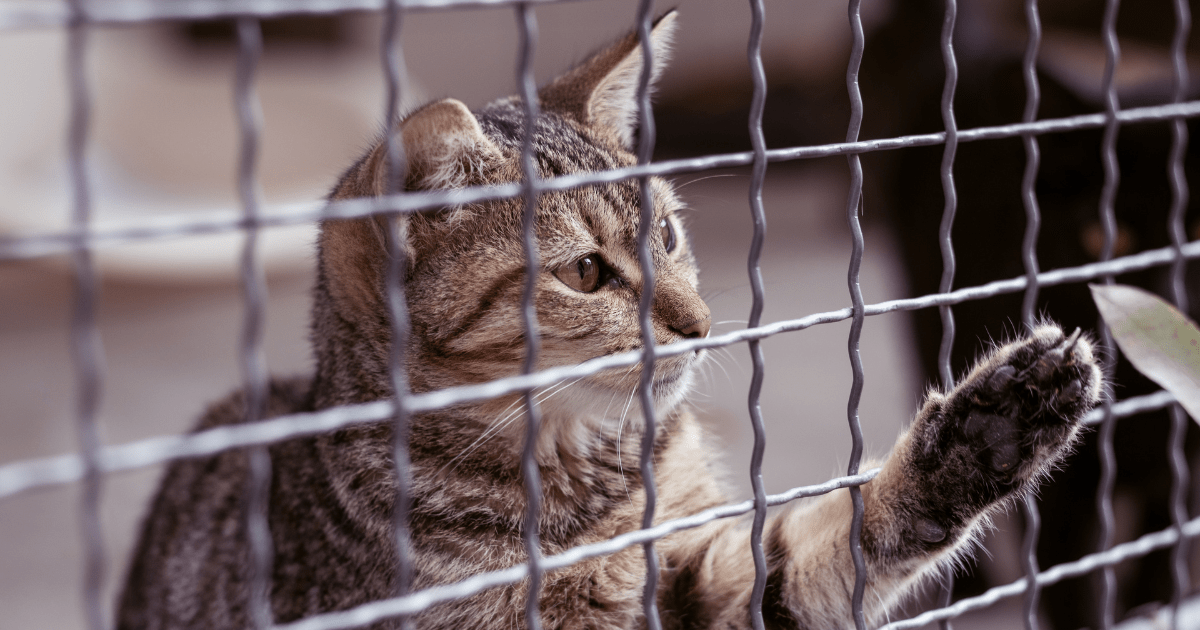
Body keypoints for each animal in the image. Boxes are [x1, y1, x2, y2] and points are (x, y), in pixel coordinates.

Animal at [117, 11, 1099, 628]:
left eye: (666, 233)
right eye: (587, 272)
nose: (702, 323)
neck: (588, 489)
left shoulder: (706, 574)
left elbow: (828, 545)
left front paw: (991, 430)